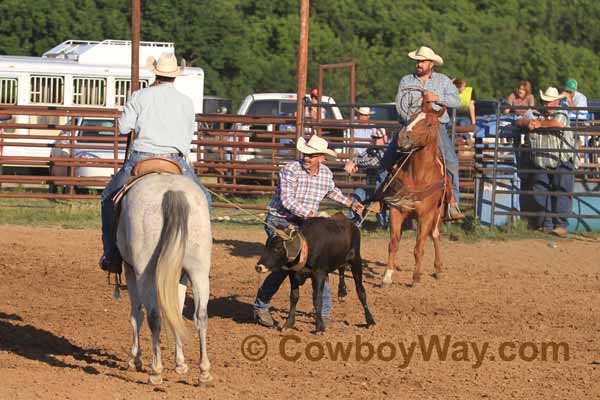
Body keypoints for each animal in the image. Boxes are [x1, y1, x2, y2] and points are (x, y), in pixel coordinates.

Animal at [116, 173, 212, 386]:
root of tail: (172, 192)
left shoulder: (130, 270)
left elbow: (136, 315)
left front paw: (134, 359)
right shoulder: (180, 275)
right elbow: (176, 311)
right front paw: (180, 363)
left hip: (144, 273)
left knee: (153, 317)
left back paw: (156, 371)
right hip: (199, 270)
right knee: (200, 315)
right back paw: (204, 372)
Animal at [382, 104, 452, 288]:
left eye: (429, 124)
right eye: (411, 118)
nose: (402, 137)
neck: (418, 176)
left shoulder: (426, 215)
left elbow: (419, 247)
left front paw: (415, 278)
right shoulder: (396, 210)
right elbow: (393, 243)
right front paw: (387, 276)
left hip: (438, 213)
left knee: (435, 235)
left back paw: (438, 269)